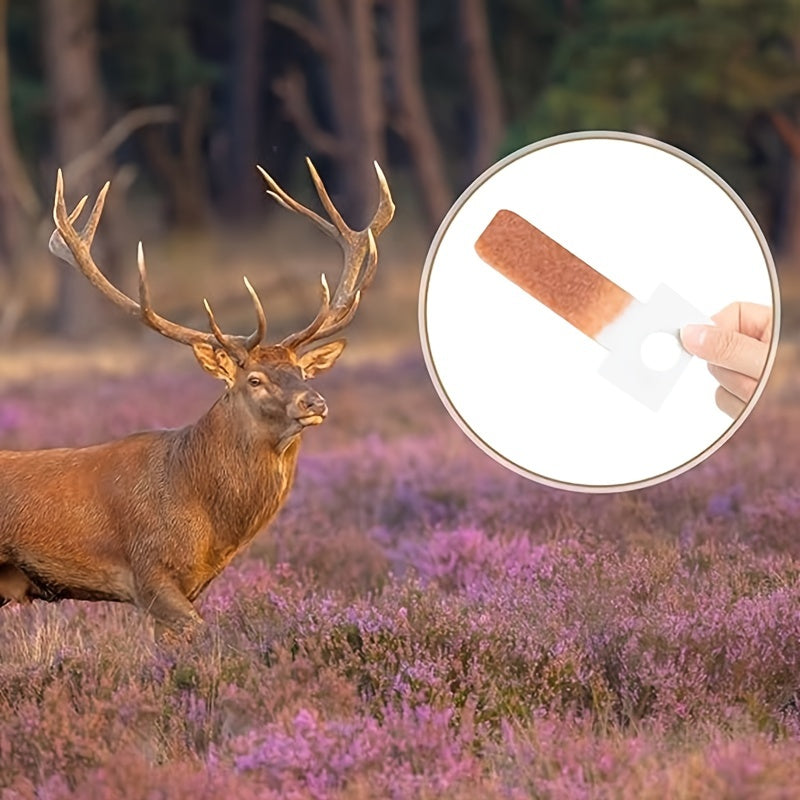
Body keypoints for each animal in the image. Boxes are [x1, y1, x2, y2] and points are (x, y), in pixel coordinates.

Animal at [0, 158, 394, 638]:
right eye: (254, 380)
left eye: (300, 371)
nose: (313, 402)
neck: (206, 520)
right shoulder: (148, 574)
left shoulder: (192, 584)